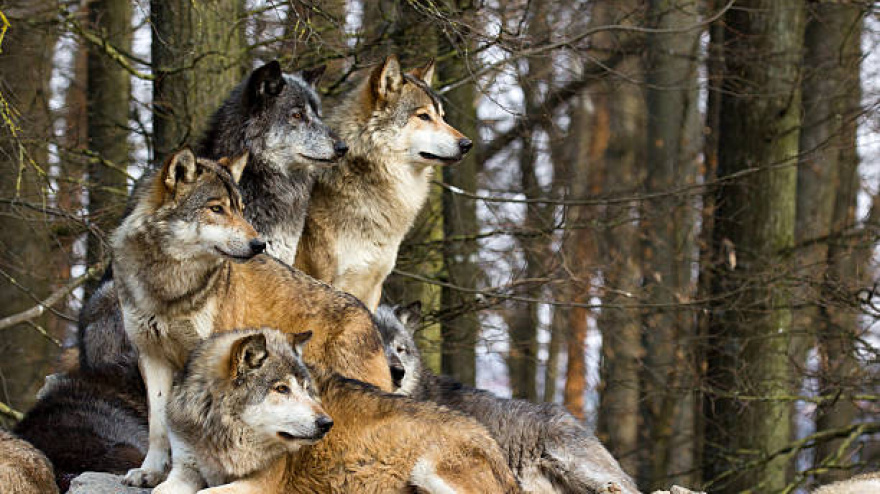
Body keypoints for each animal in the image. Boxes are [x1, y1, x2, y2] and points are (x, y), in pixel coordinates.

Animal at [112, 149, 391, 487]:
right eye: (216, 209)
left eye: (241, 210)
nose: (259, 245)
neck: (170, 286)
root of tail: (368, 315)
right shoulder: (151, 356)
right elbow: (157, 425)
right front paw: (150, 472)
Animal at [156, 327, 520, 494]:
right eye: (282, 389)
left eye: (306, 388)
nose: (325, 423)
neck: (222, 436)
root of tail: (494, 446)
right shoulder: (185, 468)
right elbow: (163, 489)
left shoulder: (261, 485)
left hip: (429, 470)